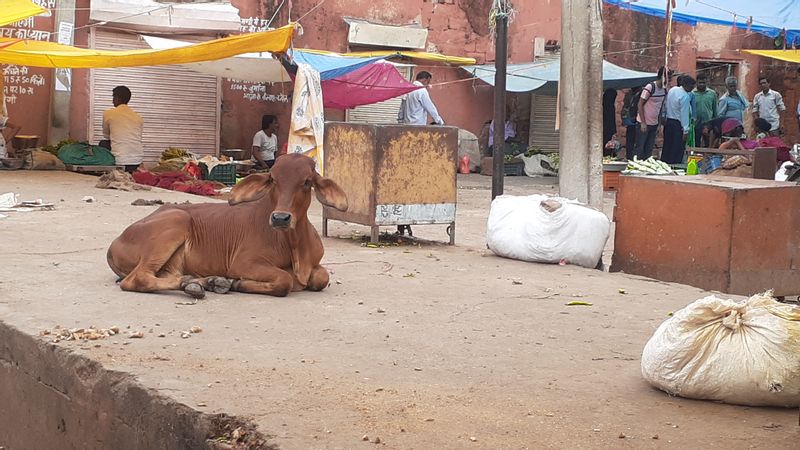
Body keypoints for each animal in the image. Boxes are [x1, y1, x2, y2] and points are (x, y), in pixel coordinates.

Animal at [106, 155, 346, 298]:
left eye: (306, 181)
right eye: (273, 180)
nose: (280, 218)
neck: (294, 245)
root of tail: (114, 244)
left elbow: (322, 277)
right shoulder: (243, 262)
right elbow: (284, 280)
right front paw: (239, 283)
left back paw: (206, 282)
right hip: (177, 219)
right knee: (137, 278)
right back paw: (196, 282)